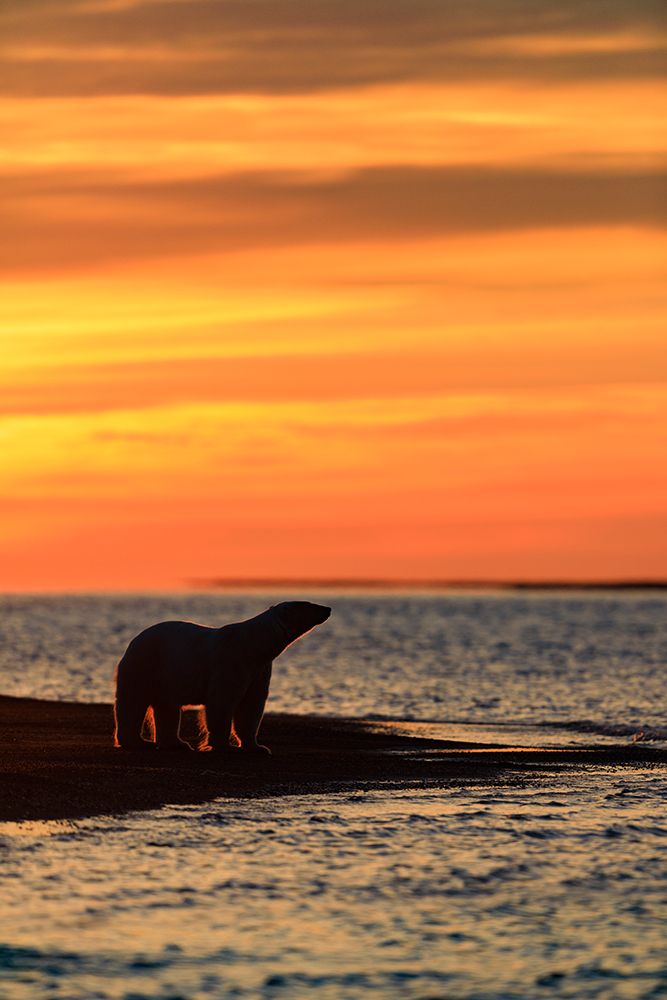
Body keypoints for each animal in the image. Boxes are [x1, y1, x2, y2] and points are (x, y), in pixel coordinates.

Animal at [113, 601, 331, 754]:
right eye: (309, 604)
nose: (327, 608)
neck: (253, 644)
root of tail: (133, 641)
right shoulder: (230, 661)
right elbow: (222, 701)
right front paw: (225, 746)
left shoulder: (259, 669)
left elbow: (252, 705)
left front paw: (258, 747)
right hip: (146, 664)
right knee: (133, 701)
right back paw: (139, 742)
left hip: (164, 675)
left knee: (167, 707)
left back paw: (177, 744)